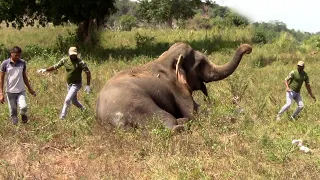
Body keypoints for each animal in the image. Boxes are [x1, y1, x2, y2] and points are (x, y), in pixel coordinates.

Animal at [96, 42, 251, 132]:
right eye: (201, 64)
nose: (248, 48)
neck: (165, 59)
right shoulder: (177, 90)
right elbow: (193, 113)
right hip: (136, 104)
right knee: (169, 121)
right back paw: (182, 123)